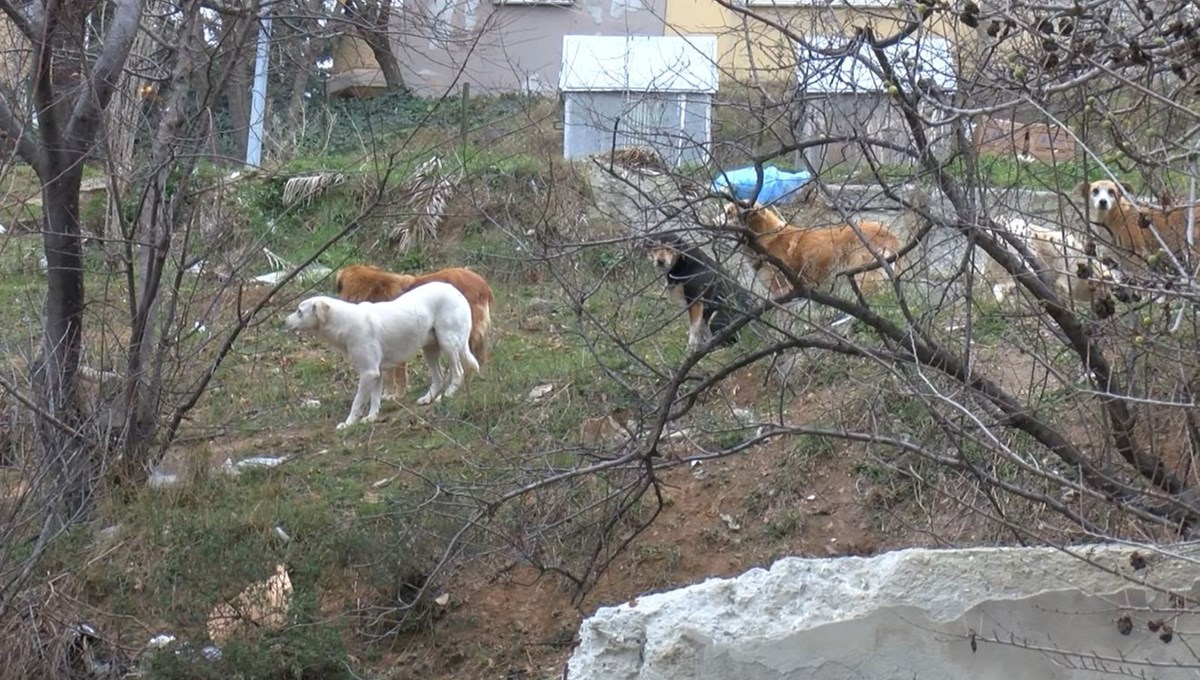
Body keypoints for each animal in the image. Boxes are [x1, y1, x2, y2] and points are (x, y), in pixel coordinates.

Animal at [284, 281, 477, 431]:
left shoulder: (368, 373)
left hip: (448, 343)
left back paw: (448, 395)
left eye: (299, 312)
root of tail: (455, 290)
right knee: (439, 376)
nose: (283, 321)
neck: (344, 322)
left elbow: (357, 403)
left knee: (458, 372)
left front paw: (349, 423)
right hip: (430, 349)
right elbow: (375, 398)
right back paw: (428, 398)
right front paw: (371, 418)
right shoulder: (375, 373)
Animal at [333, 263, 492, 395]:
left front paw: (397, 395)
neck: (373, 290)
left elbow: (397, 375)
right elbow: (387, 376)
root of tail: (482, 283)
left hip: (457, 334)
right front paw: (387, 395)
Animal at [720, 201, 902, 293]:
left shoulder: (784, 291)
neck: (765, 236)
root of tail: (887, 232)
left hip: (865, 278)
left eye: (729, 213)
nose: (716, 221)